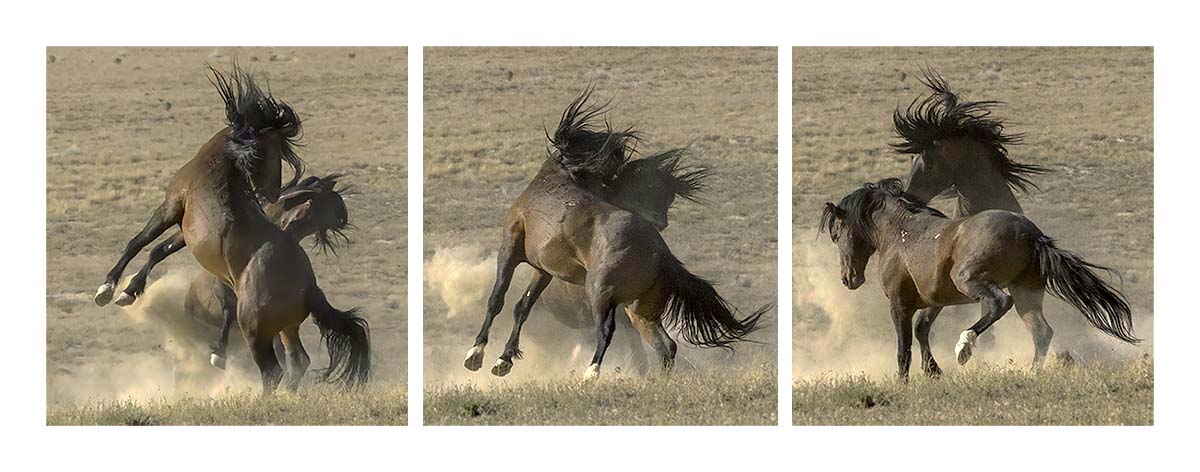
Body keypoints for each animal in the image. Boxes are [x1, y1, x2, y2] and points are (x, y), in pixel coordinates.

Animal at [93, 64, 369, 393]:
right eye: (277, 150)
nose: (271, 193)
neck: (222, 162)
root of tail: (309, 287)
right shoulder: (185, 230)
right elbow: (158, 250)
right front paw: (129, 291)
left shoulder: (171, 207)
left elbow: (138, 242)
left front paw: (108, 289)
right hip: (287, 326)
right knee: (297, 361)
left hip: (254, 328)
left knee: (272, 370)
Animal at [463, 88, 764, 380]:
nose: (662, 220)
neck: (560, 174)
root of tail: (661, 253)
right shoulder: (543, 270)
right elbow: (522, 307)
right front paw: (503, 361)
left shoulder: (510, 248)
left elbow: (497, 300)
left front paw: (476, 355)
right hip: (639, 308)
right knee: (664, 345)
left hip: (601, 292)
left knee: (608, 331)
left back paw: (592, 373)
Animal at [820, 179, 1137, 379]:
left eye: (837, 233)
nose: (848, 278)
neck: (900, 233)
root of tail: (1030, 234)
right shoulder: (935, 300)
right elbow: (922, 329)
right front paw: (933, 371)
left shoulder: (900, 303)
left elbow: (904, 347)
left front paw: (904, 381)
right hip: (1026, 292)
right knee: (1041, 330)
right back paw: (1032, 373)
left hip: (970, 279)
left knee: (998, 303)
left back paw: (964, 347)